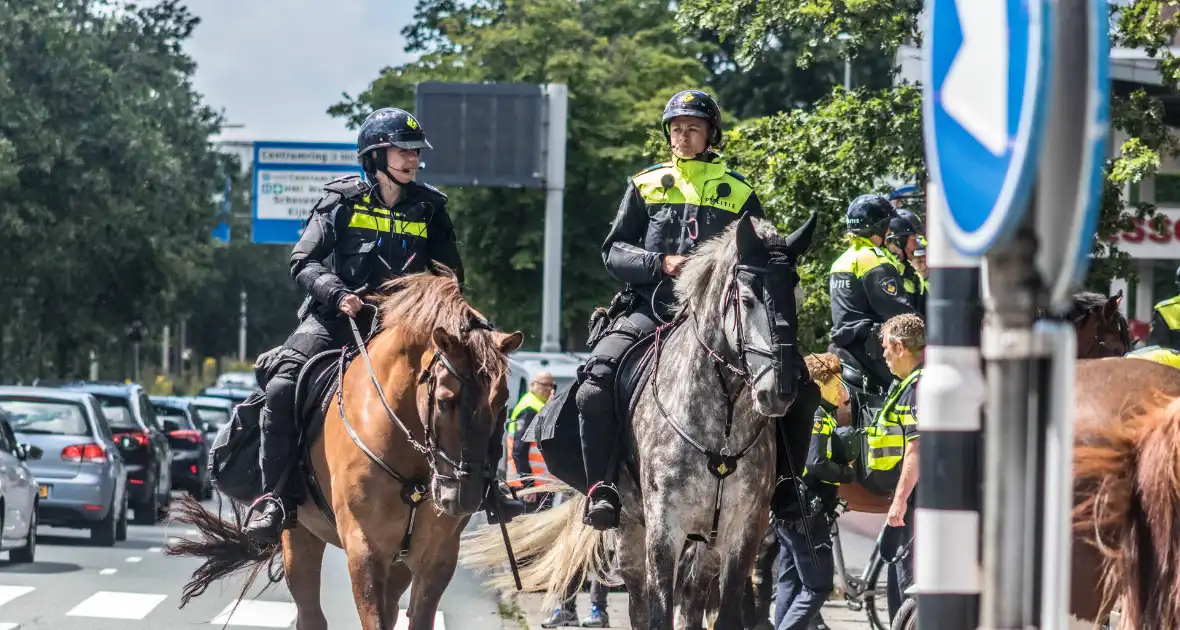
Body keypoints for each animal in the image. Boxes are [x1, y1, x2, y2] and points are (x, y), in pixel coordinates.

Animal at [165, 271, 521, 630]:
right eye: (446, 401)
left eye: (503, 402)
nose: (463, 497)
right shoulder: (365, 549)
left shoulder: (437, 557)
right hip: (300, 536)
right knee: (310, 614)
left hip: (398, 563)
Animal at [464, 214, 816, 627]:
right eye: (746, 300)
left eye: (795, 296)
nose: (779, 389)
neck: (723, 424)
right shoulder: (664, 530)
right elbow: (658, 612)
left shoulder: (743, 531)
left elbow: (724, 613)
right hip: (630, 531)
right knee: (640, 604)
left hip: (706, 542)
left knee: (693, 600)